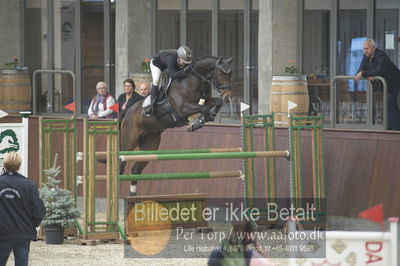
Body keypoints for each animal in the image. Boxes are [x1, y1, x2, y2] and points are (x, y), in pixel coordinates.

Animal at [119, 55, 233, 194]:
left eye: (231, 74)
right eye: (221, 73)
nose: (227, 96)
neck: (193, 80)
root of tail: (128, 112)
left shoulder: (204, 101)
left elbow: (216, 102)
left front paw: (203, 119)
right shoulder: (183, 109)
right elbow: (205, 109)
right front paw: (197, 123)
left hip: (150, 144)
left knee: (136, 169)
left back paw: (132, 195)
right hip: (129, 141)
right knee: (121, 164)